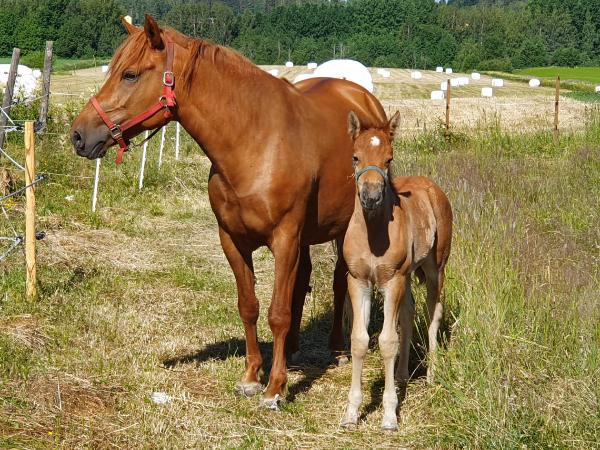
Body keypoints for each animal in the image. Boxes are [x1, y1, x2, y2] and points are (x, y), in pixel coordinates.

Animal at [70, 15, 387, 410]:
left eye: (129, 74)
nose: (79, 135)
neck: (255, 140)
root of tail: (362, 97)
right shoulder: (232, 240)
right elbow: (249, 305)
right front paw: (252, 377)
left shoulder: (284, 239)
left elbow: (277, 313)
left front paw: (274, 389)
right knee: (302, 283)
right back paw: (292, 350)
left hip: (344, 228)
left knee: (339, 281)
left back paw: (336, 350)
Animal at [341, 111, 452, 430]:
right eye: (355, 157)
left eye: (389, 159)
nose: (371, 197)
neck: (373, 233)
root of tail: (430, 185)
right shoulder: (359, 281)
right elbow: (359, 340)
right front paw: (351, 412)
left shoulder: (392, 281)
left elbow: (387, 341)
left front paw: (389, 415)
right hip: (408, 276)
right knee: (409, 312)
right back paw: (402, 375)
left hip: (434, 269)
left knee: (432, 313)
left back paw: (431, 374)